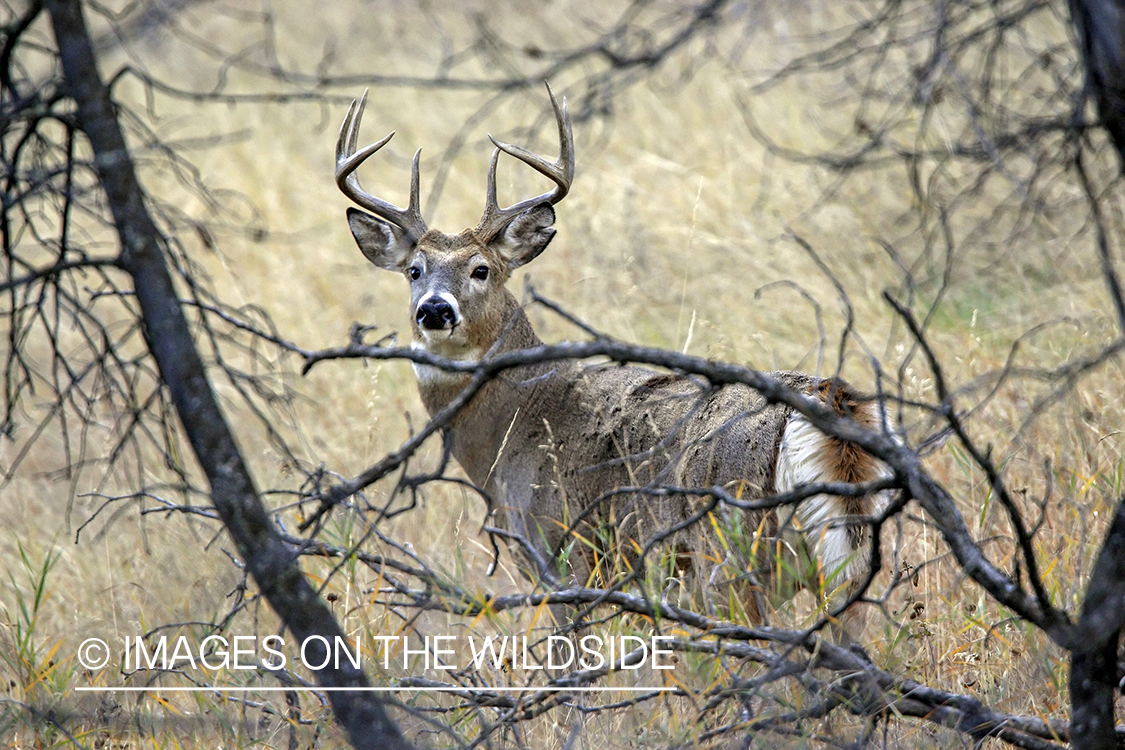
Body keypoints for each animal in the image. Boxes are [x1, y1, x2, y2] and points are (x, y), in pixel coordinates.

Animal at [335, 84, 895, 643]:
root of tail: (828, 403)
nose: (434, 310)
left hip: (730, 550)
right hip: (848, 563)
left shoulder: (563, 552)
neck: (517, 423)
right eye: (414, 270)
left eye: (481, 270)